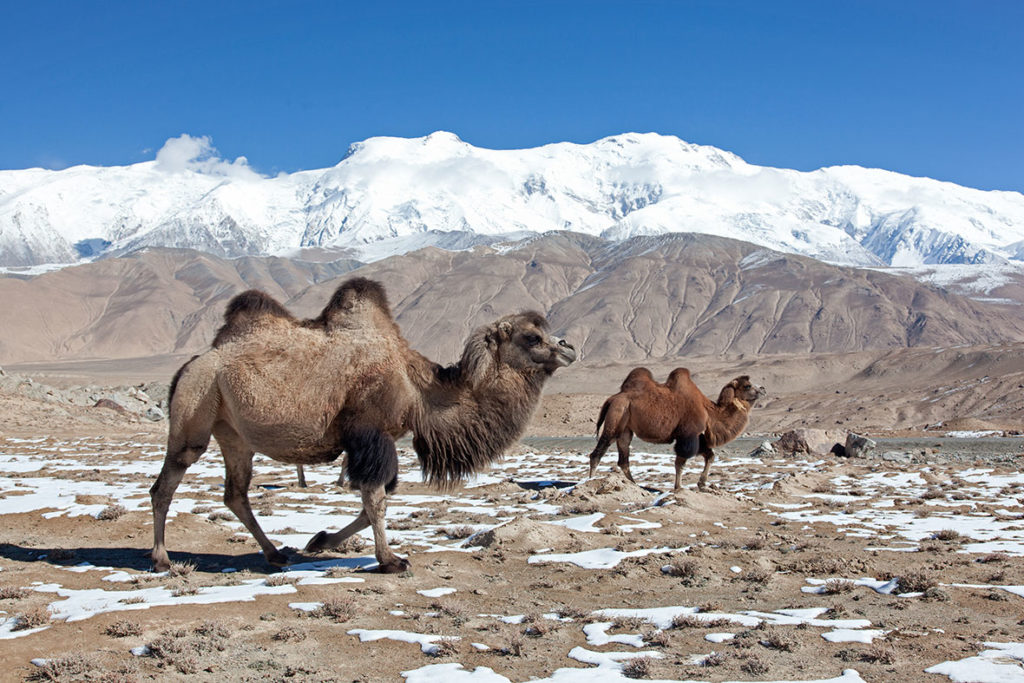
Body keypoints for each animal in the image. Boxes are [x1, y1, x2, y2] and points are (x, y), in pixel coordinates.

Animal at [148, 276, 577, 573]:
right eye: (532, 336)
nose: (570, 348)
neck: (417, 388)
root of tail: (191, 363)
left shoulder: (376, 440)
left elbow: (376, 498)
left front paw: (320, 541)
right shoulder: (371, 433)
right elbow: (375, 499)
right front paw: (391, 561)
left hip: (234, 433)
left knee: (235, 494)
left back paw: (275, 553)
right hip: (195, 408)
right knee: (165, 484)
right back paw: (162, 560)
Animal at [589, 368, 765, 491]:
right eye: (748, 385)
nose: (763, 389)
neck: (710, 412)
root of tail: (612, 399)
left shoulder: (698, 436)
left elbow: (710, 456)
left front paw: (702, 484)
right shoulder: (687, 435)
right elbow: (680, 463)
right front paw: (679, 487)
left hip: (625, 430)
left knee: (623, 460)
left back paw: (635, 485)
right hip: (616, 418)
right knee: (597, 454)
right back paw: (590, 483)